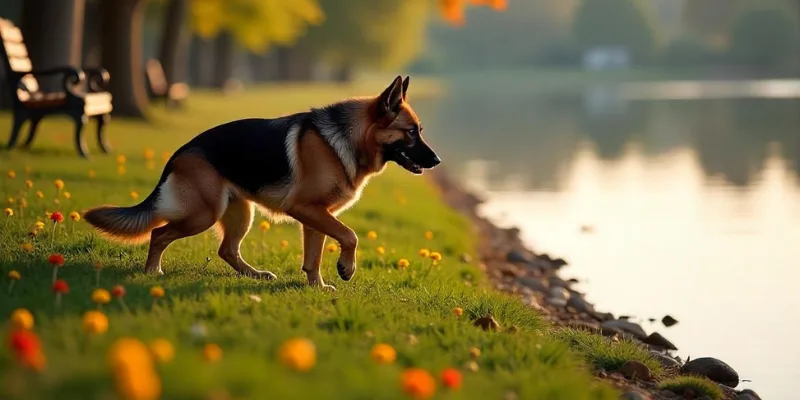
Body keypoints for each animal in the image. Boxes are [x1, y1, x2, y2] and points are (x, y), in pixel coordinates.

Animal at [84, 75, 440, 290]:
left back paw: (256, 276)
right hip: (204, 214)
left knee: (226, 249)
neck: (346, 138)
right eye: (411, 132)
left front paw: (316, 287)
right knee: (159, 233)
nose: (437, 161)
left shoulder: (315, 216)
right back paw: (152, 273)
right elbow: (349, 236)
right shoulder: (307, 209)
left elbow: (314, 257)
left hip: (241, 213)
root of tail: (180, 153)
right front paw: (346, 268)